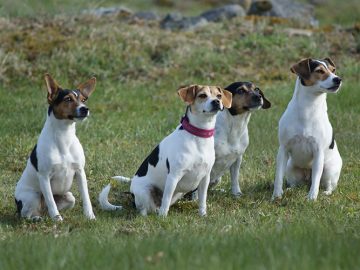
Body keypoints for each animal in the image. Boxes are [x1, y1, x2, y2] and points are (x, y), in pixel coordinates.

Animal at [14, 74, 96, 221]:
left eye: (83, 100)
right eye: (68, 99)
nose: (85, 109)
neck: (64, 136)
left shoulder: (80, 172)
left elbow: (86, 198)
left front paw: (90, 216)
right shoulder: (44, 177)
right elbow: (51, 202)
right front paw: (58, 220)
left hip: (69, 197)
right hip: (32, 196)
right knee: (26, 214)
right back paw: (36, 218)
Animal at [97, 85, 232, 216]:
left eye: (219, 96)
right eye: (202, 95)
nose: (216, 102)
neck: (198, 136)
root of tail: (132, 199)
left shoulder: (205, 178)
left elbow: (202, 200)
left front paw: (203, 215)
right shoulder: (173, 177)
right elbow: (166, 200)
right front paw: (163, 217)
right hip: (145, 191)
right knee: (144, 210)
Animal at [272, 57, 344, 200]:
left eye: (333, 70)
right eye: (320, 71)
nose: (338, 79)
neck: (308, 108)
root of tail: (306, 179)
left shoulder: (318, 152)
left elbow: (316, 180)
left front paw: (311, 198)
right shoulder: (283, 149)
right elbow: (278, 177)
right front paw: (276, 196)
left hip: (329, 170)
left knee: (327, 185)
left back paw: (325, 193)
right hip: (290, 167)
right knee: (294, 183)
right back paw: (290, 189)